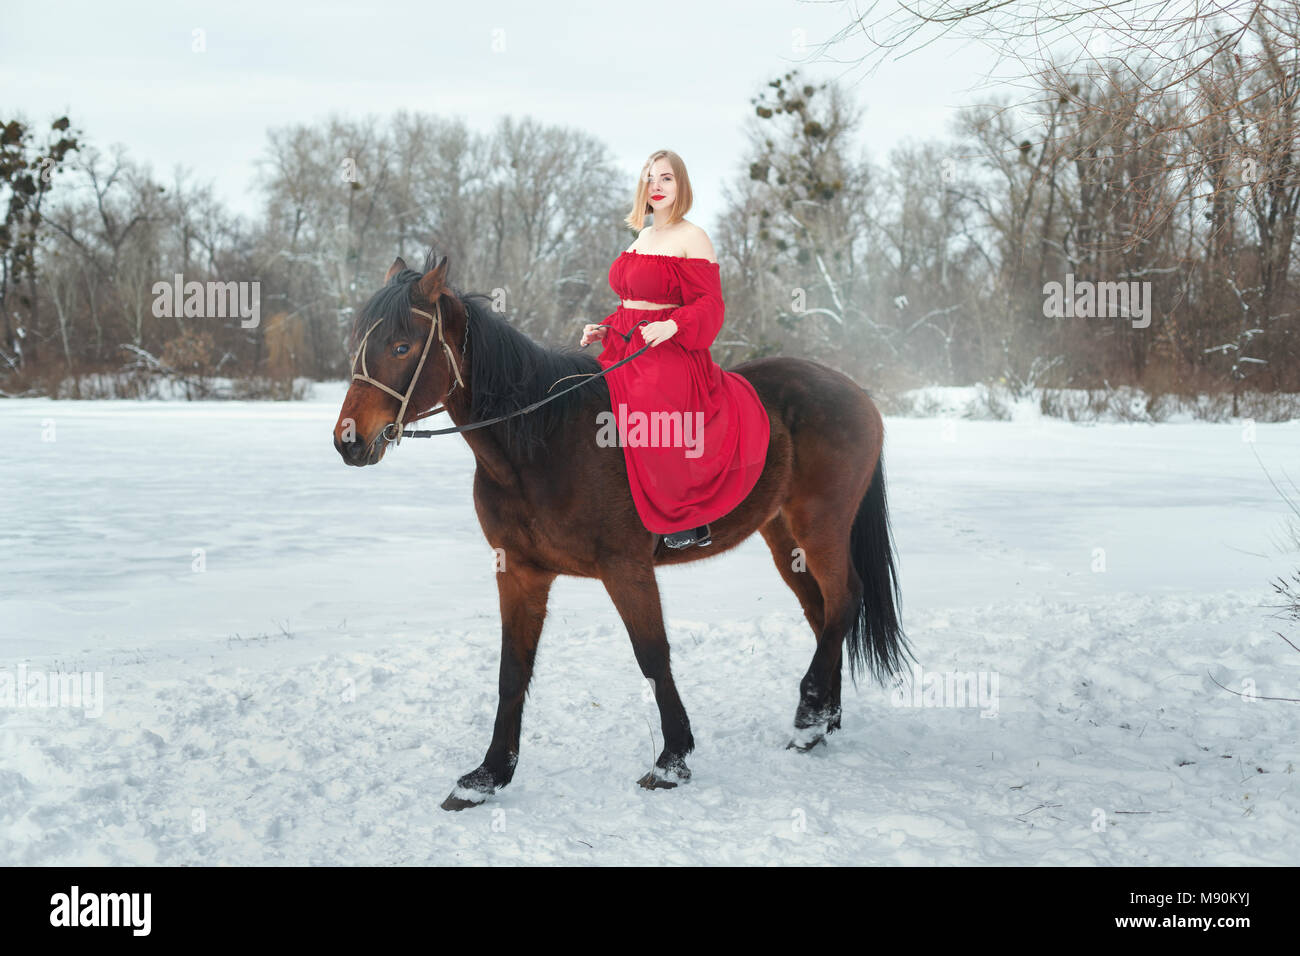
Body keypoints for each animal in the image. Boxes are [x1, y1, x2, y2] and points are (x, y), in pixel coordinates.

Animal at [330, 251, 909, 811]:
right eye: (359, 342)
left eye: (402, 345)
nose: (348, 441)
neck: (542, 443)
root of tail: (854, 391)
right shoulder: (520, 572)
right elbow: (512, 670)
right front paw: (486, 777)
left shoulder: (625, 568)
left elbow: (652, 655)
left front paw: (672, 761)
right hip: (783, 536)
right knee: (822, 612)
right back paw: (825, 718)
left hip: (820, 525)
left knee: (844, 600)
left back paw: (810, 715)